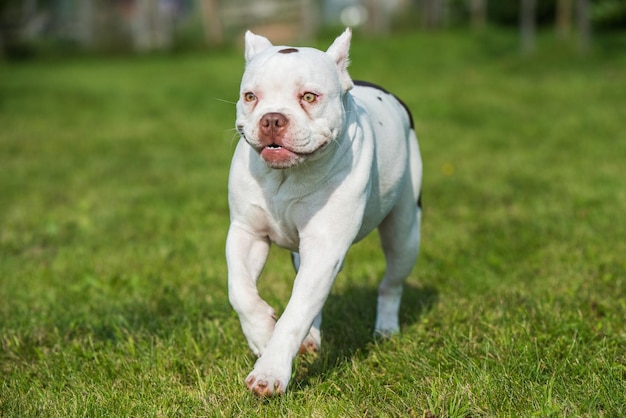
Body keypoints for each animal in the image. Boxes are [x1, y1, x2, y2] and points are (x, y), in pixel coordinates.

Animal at [222, 28, 422, 396]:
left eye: (309, 97)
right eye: (250, 96)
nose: (272, 118)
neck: (286, 177)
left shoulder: (325, 247)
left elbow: (295, 313)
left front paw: (270, 371)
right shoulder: (246, 233)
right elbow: (240, 289)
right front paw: (261, 334)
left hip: (404, 236)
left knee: (391, 284)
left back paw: (386, 328)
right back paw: (310, 338)